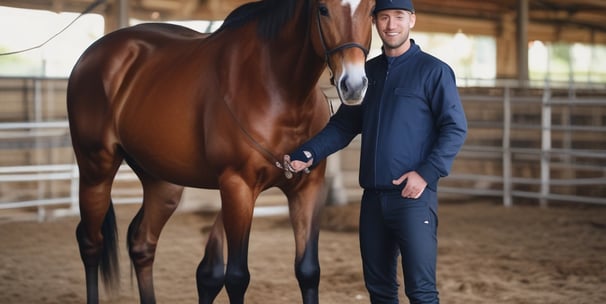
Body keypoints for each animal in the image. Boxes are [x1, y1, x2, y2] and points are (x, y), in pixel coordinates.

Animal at [69, 0, 376, 304]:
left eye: (371, 10)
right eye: (323, 9)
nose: (354, 86)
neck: (276, 88)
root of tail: (94, 54)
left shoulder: (308, 188)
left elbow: (308, 271)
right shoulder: (237, 187)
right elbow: (237, 277)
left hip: (163, 183)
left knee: (142, 243)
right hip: (96, 170)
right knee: (90, 243)